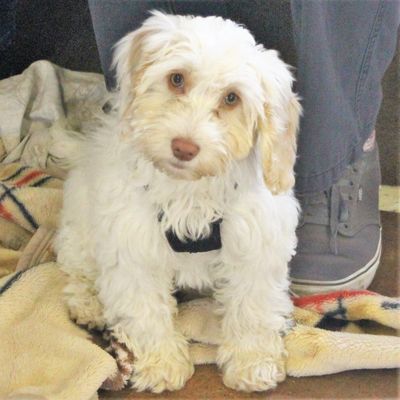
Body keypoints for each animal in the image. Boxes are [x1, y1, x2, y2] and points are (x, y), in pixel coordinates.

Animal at [55, 11, 300, 394]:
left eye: (232, 98)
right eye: (177, 79)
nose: (184, 147)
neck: (190, 193)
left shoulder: (255, 247)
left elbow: (252, 309)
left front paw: (253, 363)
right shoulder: (133, 250)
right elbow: (146, 312)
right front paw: (161, 364)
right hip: (81, 231)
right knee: (76, 269)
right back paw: (88, 304)